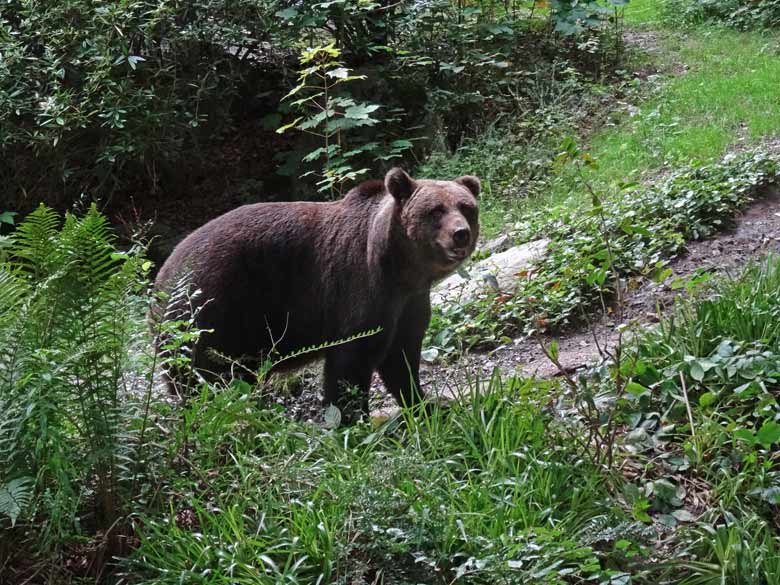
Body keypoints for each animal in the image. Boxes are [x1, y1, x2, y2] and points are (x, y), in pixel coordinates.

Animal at [152, 167, 478, 418]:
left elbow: (402, 359)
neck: (400, 269)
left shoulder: (409, 303)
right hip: (210, 311)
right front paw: (350, 419)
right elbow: (350, 361)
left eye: (466, 207)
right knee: (205, 379)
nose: (460, 233)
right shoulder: (359, 290)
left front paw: (427, 404)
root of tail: (162, 277)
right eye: (436, 210)